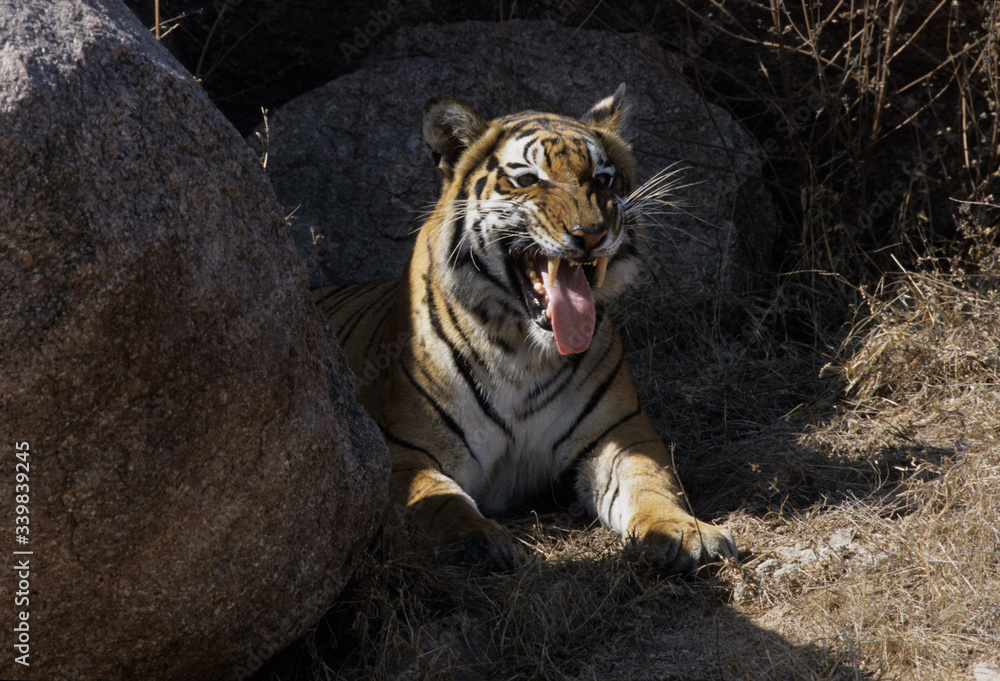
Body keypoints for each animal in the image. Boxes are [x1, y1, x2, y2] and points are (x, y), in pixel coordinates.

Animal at [315, 85, 736, 572]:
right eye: (529, 180)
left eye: (603, 179)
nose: (591, 233)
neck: (521, 349)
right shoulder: (403, 452)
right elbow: (440, 501)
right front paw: (478, 539)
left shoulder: (622, 435)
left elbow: (653, 485)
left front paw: (684, 532)